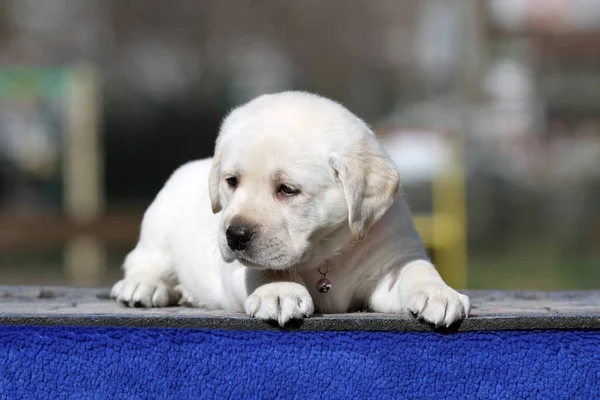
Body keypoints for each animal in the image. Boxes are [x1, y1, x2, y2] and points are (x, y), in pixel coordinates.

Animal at [111, 92, 468, 326]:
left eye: (287, 189)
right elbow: (265, 267)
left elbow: (417, 269)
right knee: (143, 261)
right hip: (158, 226)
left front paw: (439, 294)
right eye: (232, 181)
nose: (234, 234)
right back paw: (144, 286)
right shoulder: (238, 268)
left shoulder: (391, 257)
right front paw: (279, 291)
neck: (325, 254)